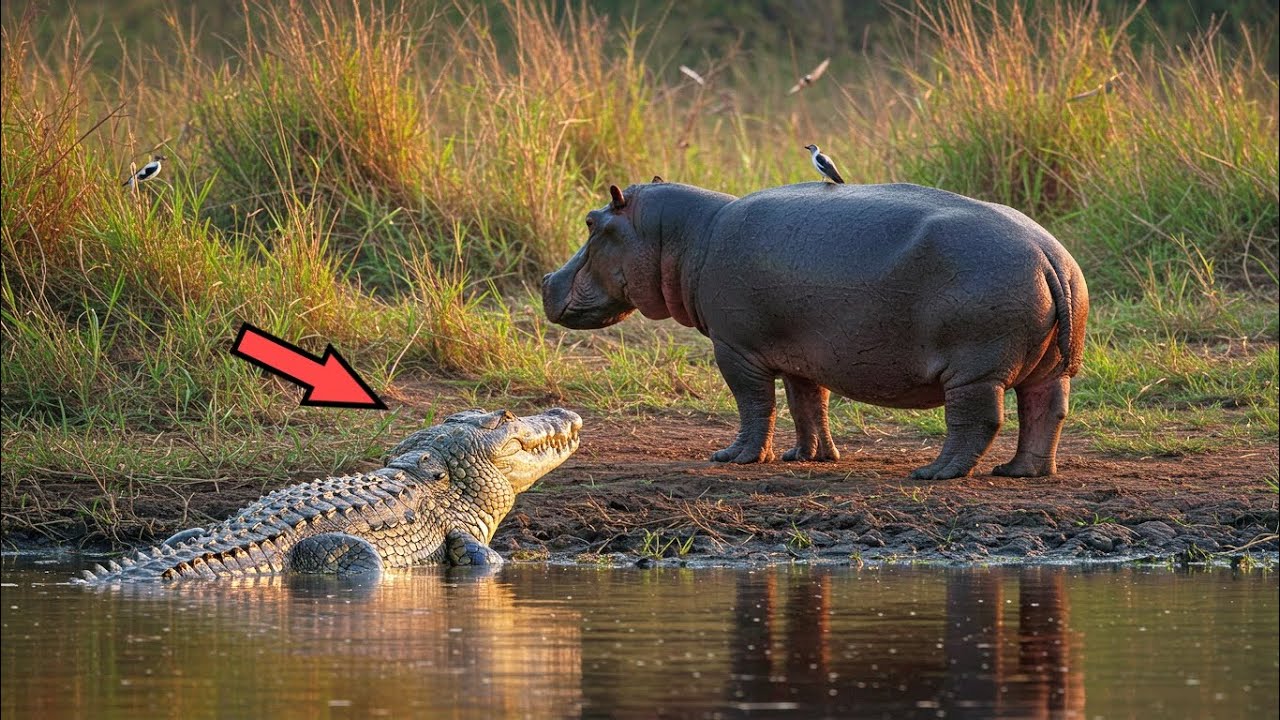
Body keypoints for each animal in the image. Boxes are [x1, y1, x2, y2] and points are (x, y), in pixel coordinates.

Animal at [542, 180, 1088, 479]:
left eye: (591, 222)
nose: (546, 280)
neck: (684, 235)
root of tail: (1050, 255)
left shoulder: (735, 349)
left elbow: (754, 404)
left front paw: (735, 457)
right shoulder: (801, 354)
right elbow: (808, 405)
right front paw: (805, 457)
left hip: (974, 371)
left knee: (977, 421)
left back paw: (935, 473)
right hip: (1052, 368)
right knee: (1046, 412)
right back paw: (1022, 471)